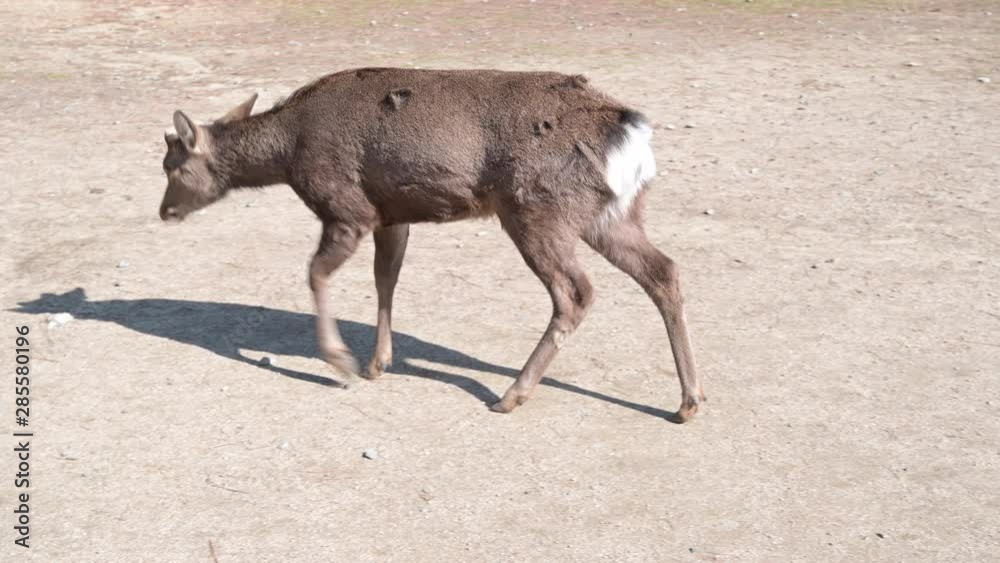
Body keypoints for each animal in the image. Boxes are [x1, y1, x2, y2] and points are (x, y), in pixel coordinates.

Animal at [158, 68, 705, 422]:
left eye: (173, 166)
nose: (165, 212)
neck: (290, 152)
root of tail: (631, 135)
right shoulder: (391, 213)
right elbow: (386, 278)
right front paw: (378, 362)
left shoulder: (347, 206)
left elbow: (315, 273)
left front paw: (341, 362)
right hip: (609, 214)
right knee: (664, 270)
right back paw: (688, 401)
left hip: (536, 207)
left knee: (576, 292)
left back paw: (512, 394)